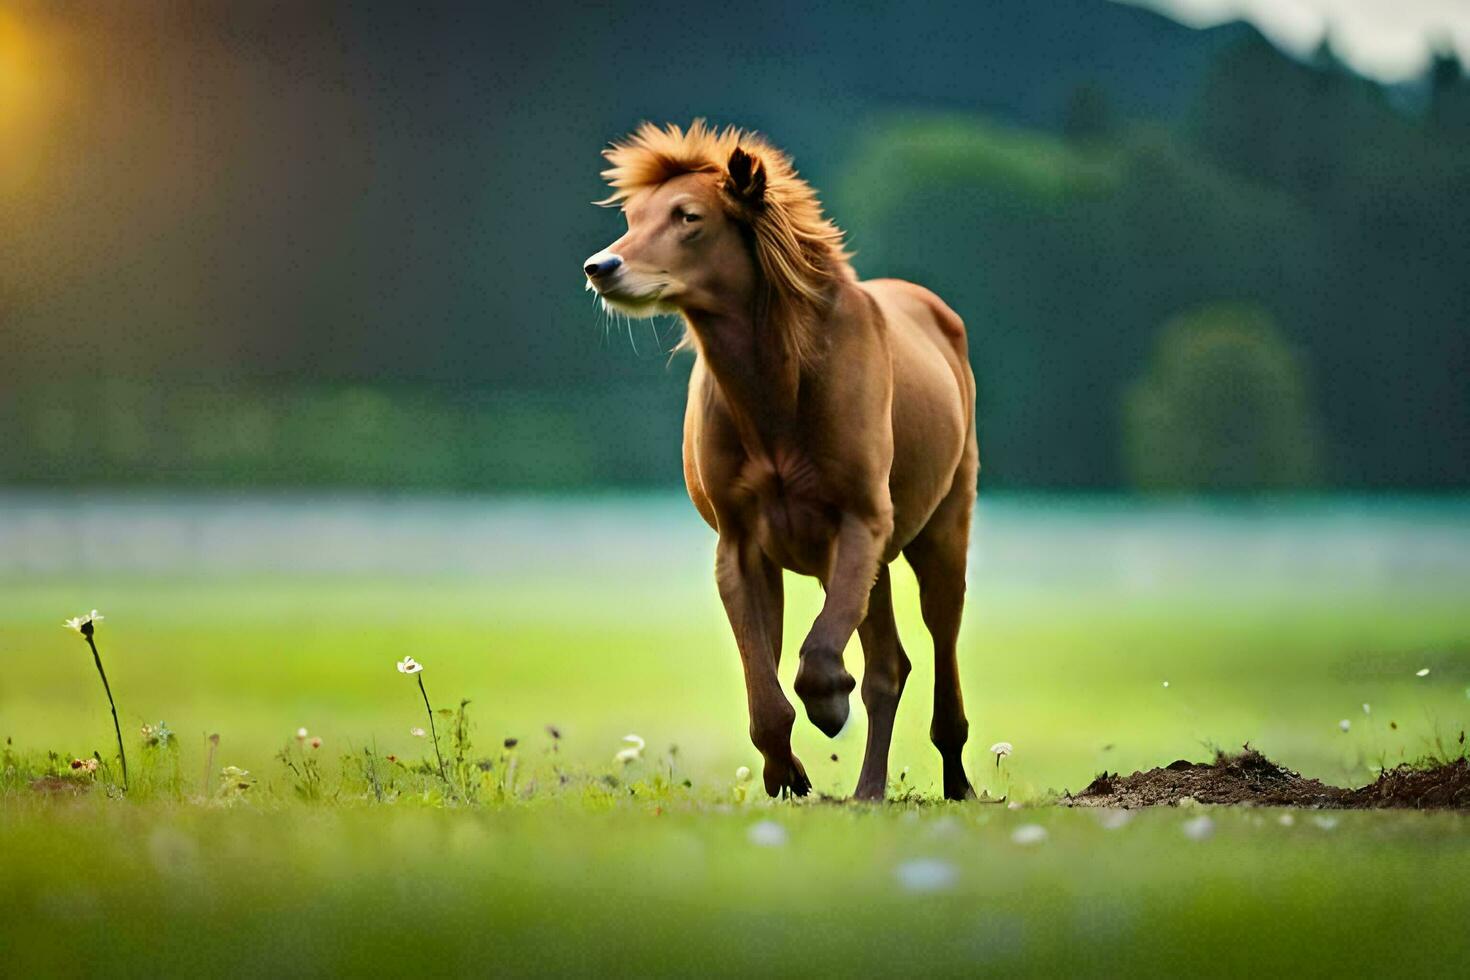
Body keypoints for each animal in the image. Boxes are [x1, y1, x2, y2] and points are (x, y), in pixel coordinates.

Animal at [582, 119, 976, 799]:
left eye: (688, 216)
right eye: (632, 216)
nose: (601, 266)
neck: (777, 388)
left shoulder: (860, 519)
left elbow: (819, 659)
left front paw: (830, 703)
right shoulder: (742, 543)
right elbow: (763, 688)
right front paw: (786, 774)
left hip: (942, 532)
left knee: (935, 645)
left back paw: (952, 781)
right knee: (889, 664)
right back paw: (868, 790)